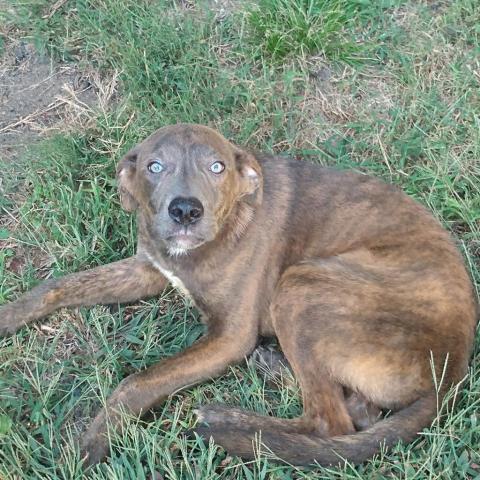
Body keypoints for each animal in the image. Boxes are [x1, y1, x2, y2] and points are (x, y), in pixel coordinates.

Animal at [1, 123, 478, 464]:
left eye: (217, 167)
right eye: (154, 166)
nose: (185, 211)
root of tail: (453, 369)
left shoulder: (228, 336)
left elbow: (138, 381)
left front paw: (94, 440)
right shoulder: (147, 270)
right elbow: (57, 286)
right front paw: (8, 315)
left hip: (300, 286)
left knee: (330, 422)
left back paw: (226, 420)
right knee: (356, 411)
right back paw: (272, 367)